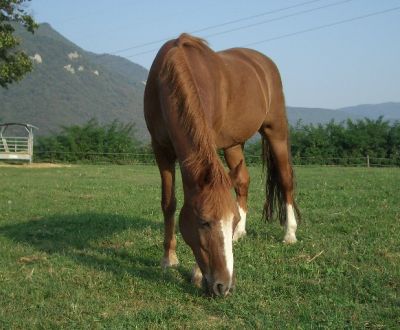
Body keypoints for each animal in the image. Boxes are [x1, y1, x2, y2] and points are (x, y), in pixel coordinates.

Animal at [144, 33, 300, 296]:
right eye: (203, 222)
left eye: (230, 219)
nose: (224, 286)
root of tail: (264, 63)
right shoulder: (161, 150)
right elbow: (168, 203)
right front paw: (169, 258)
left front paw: (196, 273)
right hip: (234, 145)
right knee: (243, 181)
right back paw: (240, 234)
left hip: (275, 130)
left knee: (285, 179)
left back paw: (289, 233)